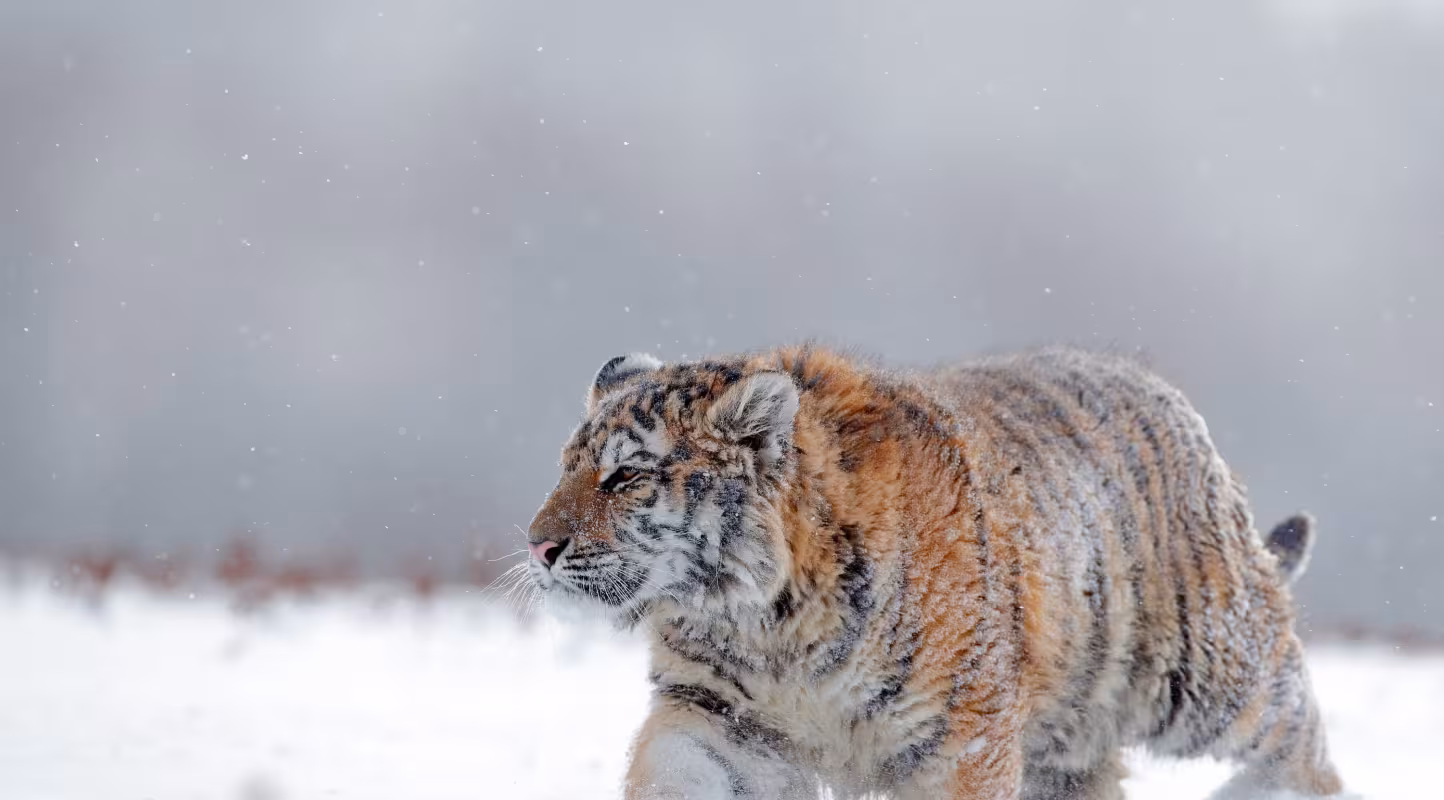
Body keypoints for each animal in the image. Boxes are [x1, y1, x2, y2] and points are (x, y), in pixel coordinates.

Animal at [524, 344, 1349, 800]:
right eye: (565, 467)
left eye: (625, 477)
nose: (537, 547)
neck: (763, 624)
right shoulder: (724, 719)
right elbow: (676, 776)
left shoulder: (963, 740)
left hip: (1211, 676)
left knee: (1299, 734)